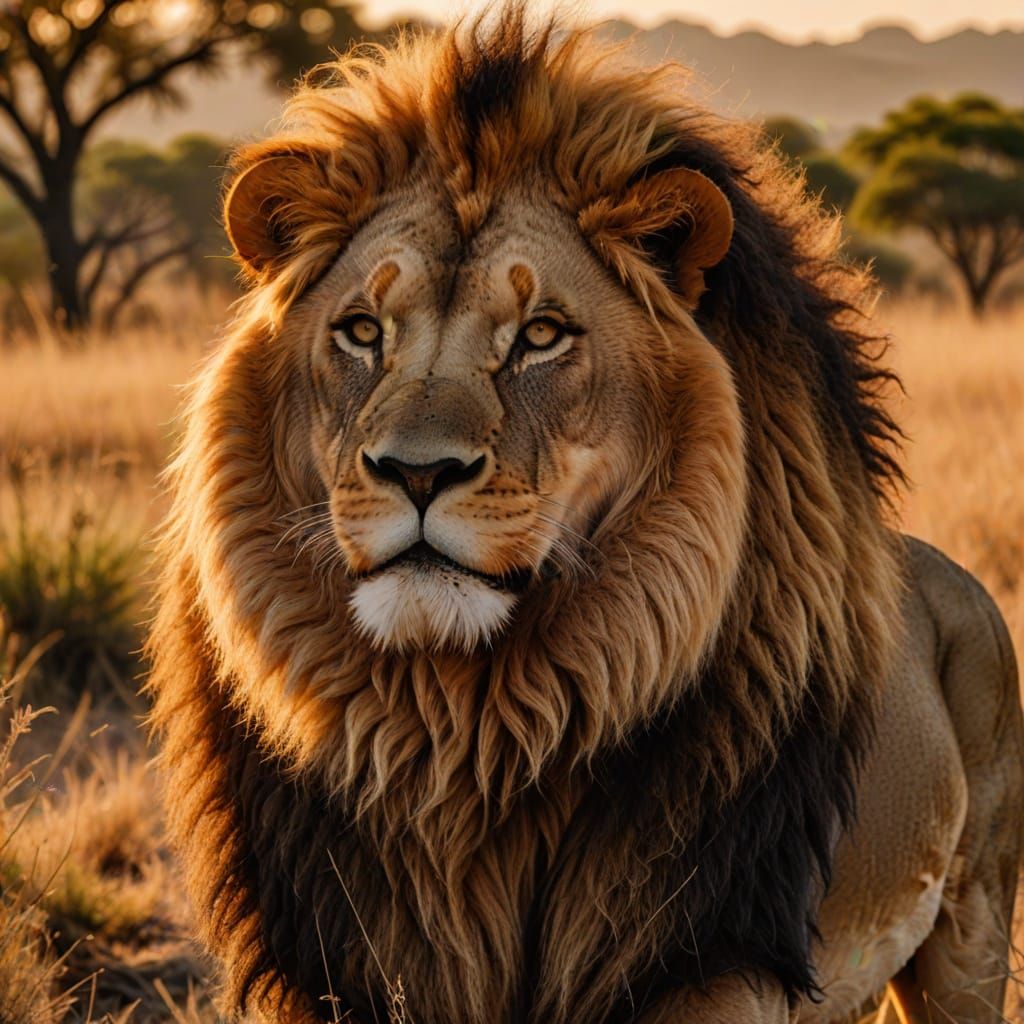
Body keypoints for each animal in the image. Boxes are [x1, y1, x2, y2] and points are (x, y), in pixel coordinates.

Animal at [147, 9, 1023, 1024]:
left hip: (969, 923)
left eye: (541, 336)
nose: (416, 471)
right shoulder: (334, 966)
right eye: (363, 331)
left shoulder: (711, 961)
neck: (463, 737)